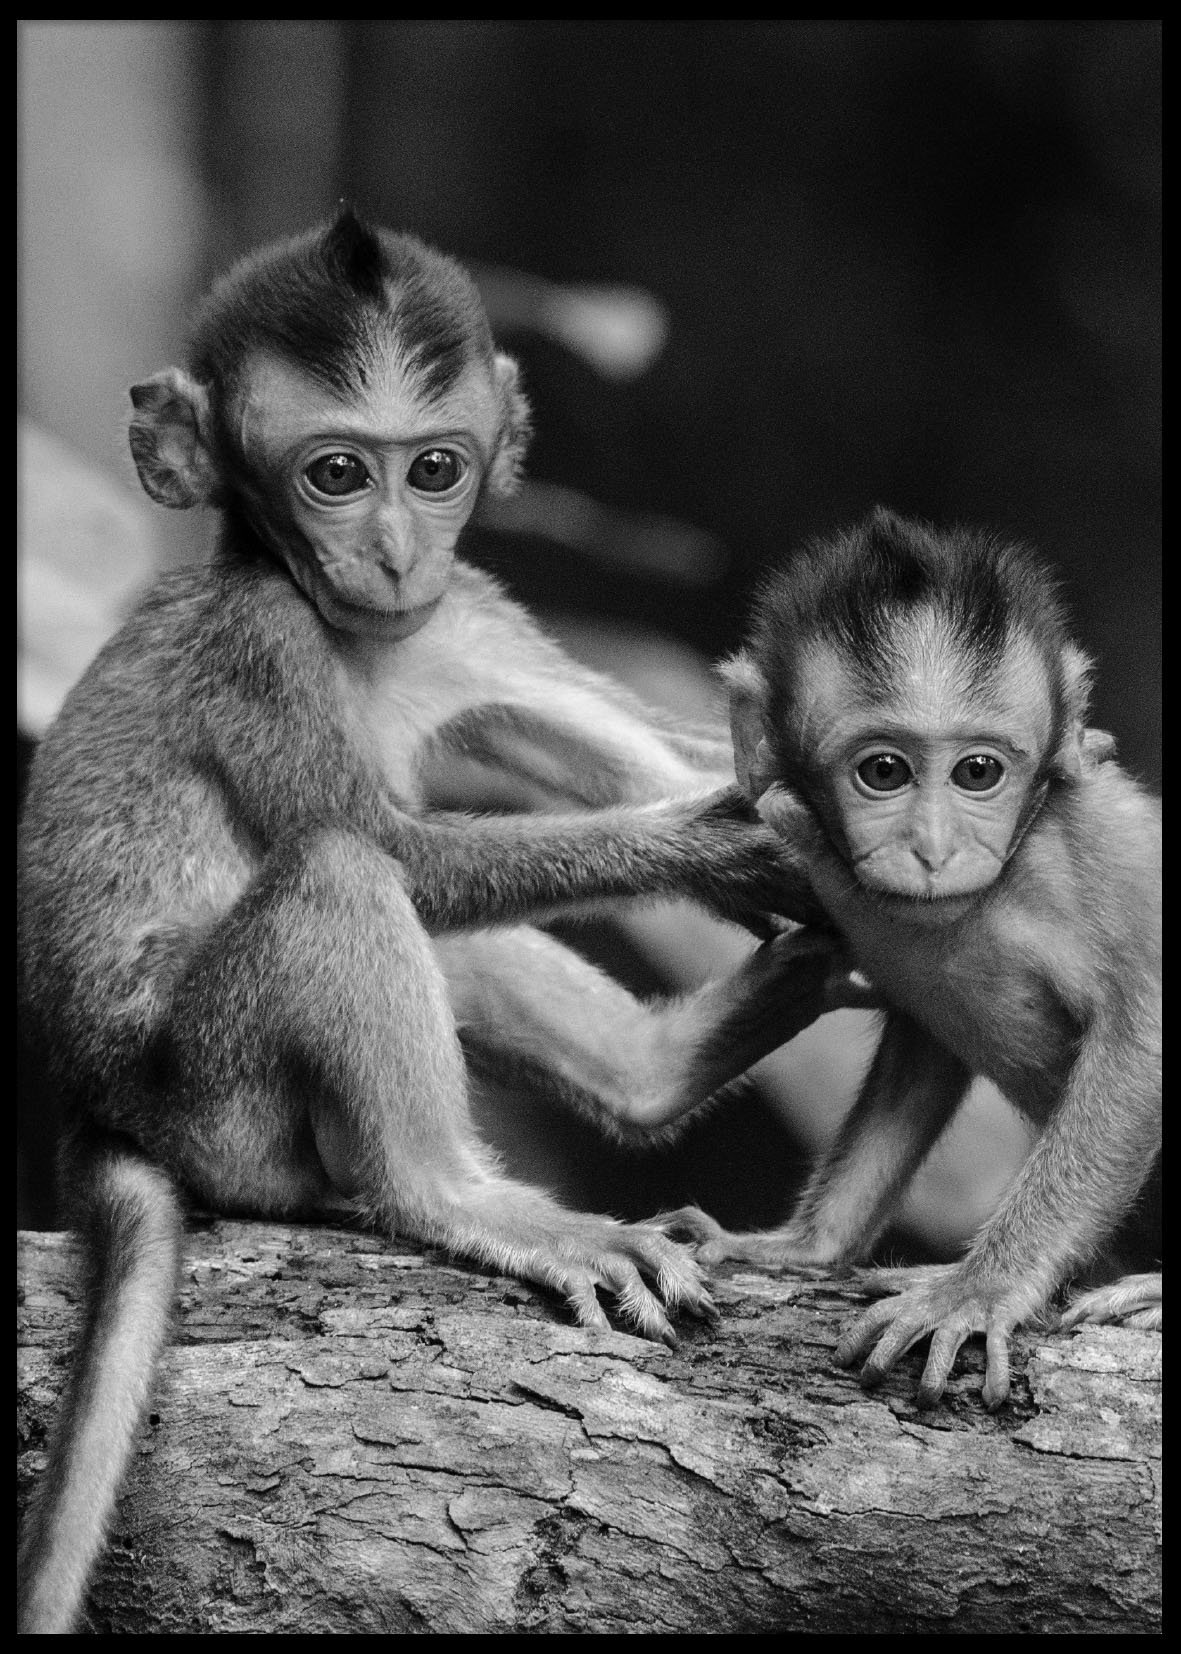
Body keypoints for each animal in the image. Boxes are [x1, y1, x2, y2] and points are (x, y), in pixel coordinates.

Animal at [16, 208, 852, 1634]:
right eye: (335, 472)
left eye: (437, 467)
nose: (396, 549)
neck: (360, 634)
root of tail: (97, 1110)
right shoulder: (261, 642)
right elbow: (398, 847)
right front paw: (720, 842)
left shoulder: (466, 617)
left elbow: (653, 753)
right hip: (218, 1097)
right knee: (344, 874)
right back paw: (459, 1195)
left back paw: (658, 1066)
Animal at [665, 507, 1161, 1410]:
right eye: (883, 771)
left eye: (978, 771)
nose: (932, 849)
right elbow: (921, 1045)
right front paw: (803, 1246)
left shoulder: (1113, 857)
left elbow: (1140, 1046)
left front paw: (976, 1290)